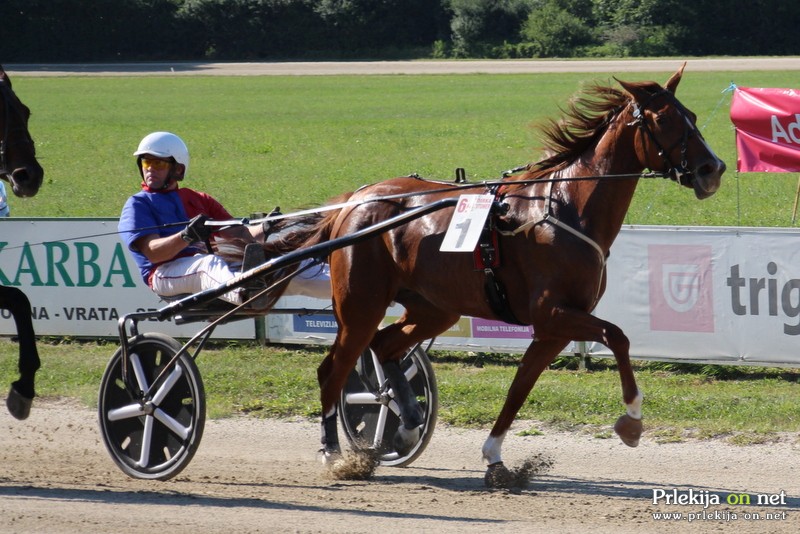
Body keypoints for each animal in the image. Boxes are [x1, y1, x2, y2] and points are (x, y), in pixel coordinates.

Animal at [268, 65, 724, 488]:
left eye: (692, 115)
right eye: (664, 120)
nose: (712, 169)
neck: (565, 209)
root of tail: (354, 202)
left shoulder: (553, 327)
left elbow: (519, 388)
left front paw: (495, 459)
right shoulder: (554, 313)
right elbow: (618, 336)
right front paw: (631, 421)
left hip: (435, 307)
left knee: (385, 345)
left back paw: (409, 421)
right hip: (360, 306)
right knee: (333, 370)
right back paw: (333, 453)